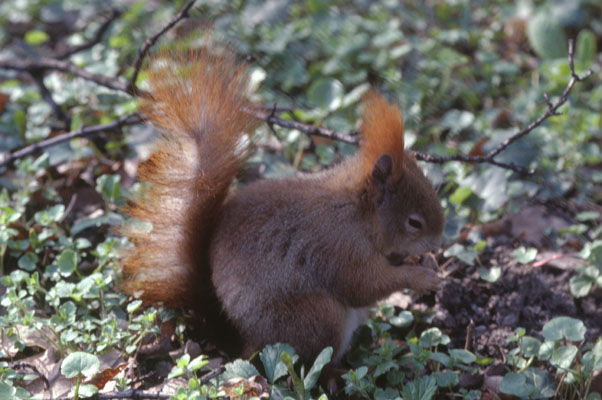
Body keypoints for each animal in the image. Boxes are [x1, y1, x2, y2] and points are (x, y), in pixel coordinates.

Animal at [120, 47, 440, 362]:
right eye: (414, 223)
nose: (436, 245)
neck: (358, 213)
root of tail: (241, 344)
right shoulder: (338, 247)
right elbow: (364, 285)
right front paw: (420, 276)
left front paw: (426, 262)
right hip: (315, 318)